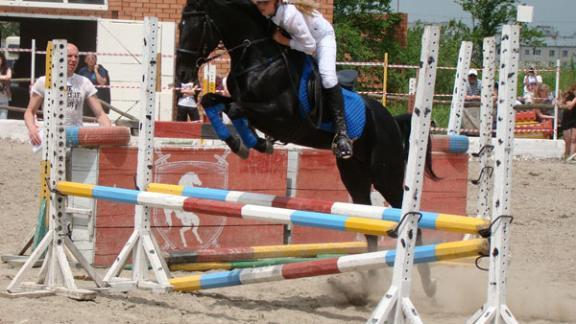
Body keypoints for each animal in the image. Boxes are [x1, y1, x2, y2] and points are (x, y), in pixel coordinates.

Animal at [176, 0, 436, 298]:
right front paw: (242, 143)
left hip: (386, 176)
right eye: (181, 24)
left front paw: (251, 143)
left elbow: (236, 109)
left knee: (410, 219)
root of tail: (391, 120)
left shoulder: (282, 117)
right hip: (355, 177)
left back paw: (428, 285)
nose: (182, 74)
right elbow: (213, 102)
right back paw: (368, 284)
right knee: (369, 226)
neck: (257, 60)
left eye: (196, 26)